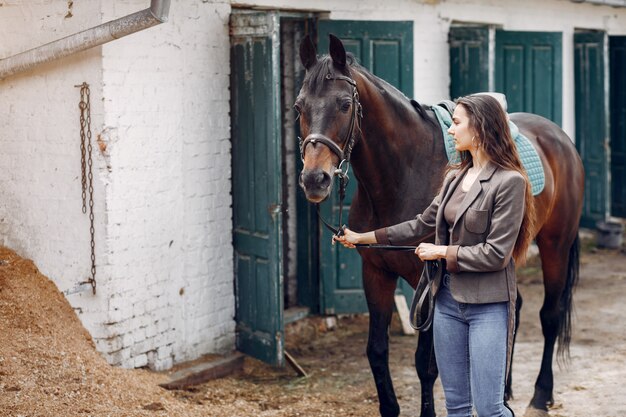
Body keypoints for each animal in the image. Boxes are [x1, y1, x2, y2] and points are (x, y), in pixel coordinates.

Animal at [294, 35, 584, 416]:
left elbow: (426, 363)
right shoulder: (376, 275)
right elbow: (377, 351)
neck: (403, 172)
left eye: (344, 105)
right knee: (512, 310)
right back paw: (503, 391)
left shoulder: (429, 277)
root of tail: (560, 138)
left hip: (555, 247)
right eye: (298, 107)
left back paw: (540, 395)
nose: (315, 179)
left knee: (549, 315)